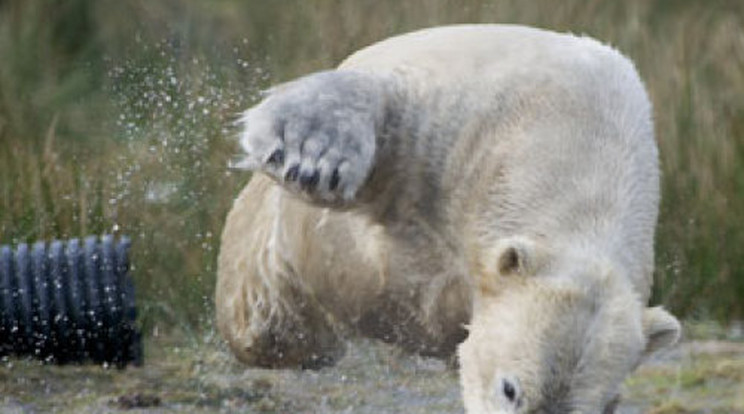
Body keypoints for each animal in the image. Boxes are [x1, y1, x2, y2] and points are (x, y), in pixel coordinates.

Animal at [218, 24, 684, 412]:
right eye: (510, 389)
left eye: (595, 408)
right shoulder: (458, 122)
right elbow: (382, 101)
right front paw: (314, 156)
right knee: (267, 322)